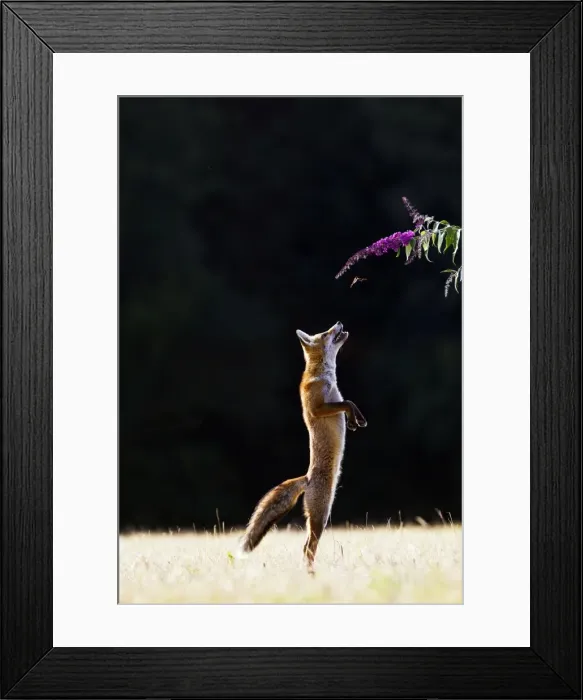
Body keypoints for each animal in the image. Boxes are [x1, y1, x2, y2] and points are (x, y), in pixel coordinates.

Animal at [238, 321, 367, 571]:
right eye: (326, 333)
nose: (339, 323)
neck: (325, 376)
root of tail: (306, 478)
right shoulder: (317, 407)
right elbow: (347, 403)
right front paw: (356, 419)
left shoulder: (334, 399)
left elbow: (348, 402)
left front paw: (355, 421)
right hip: (320, 516)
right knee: (308, 548)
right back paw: (311, 572)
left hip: (321, 516)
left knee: (306, 548)